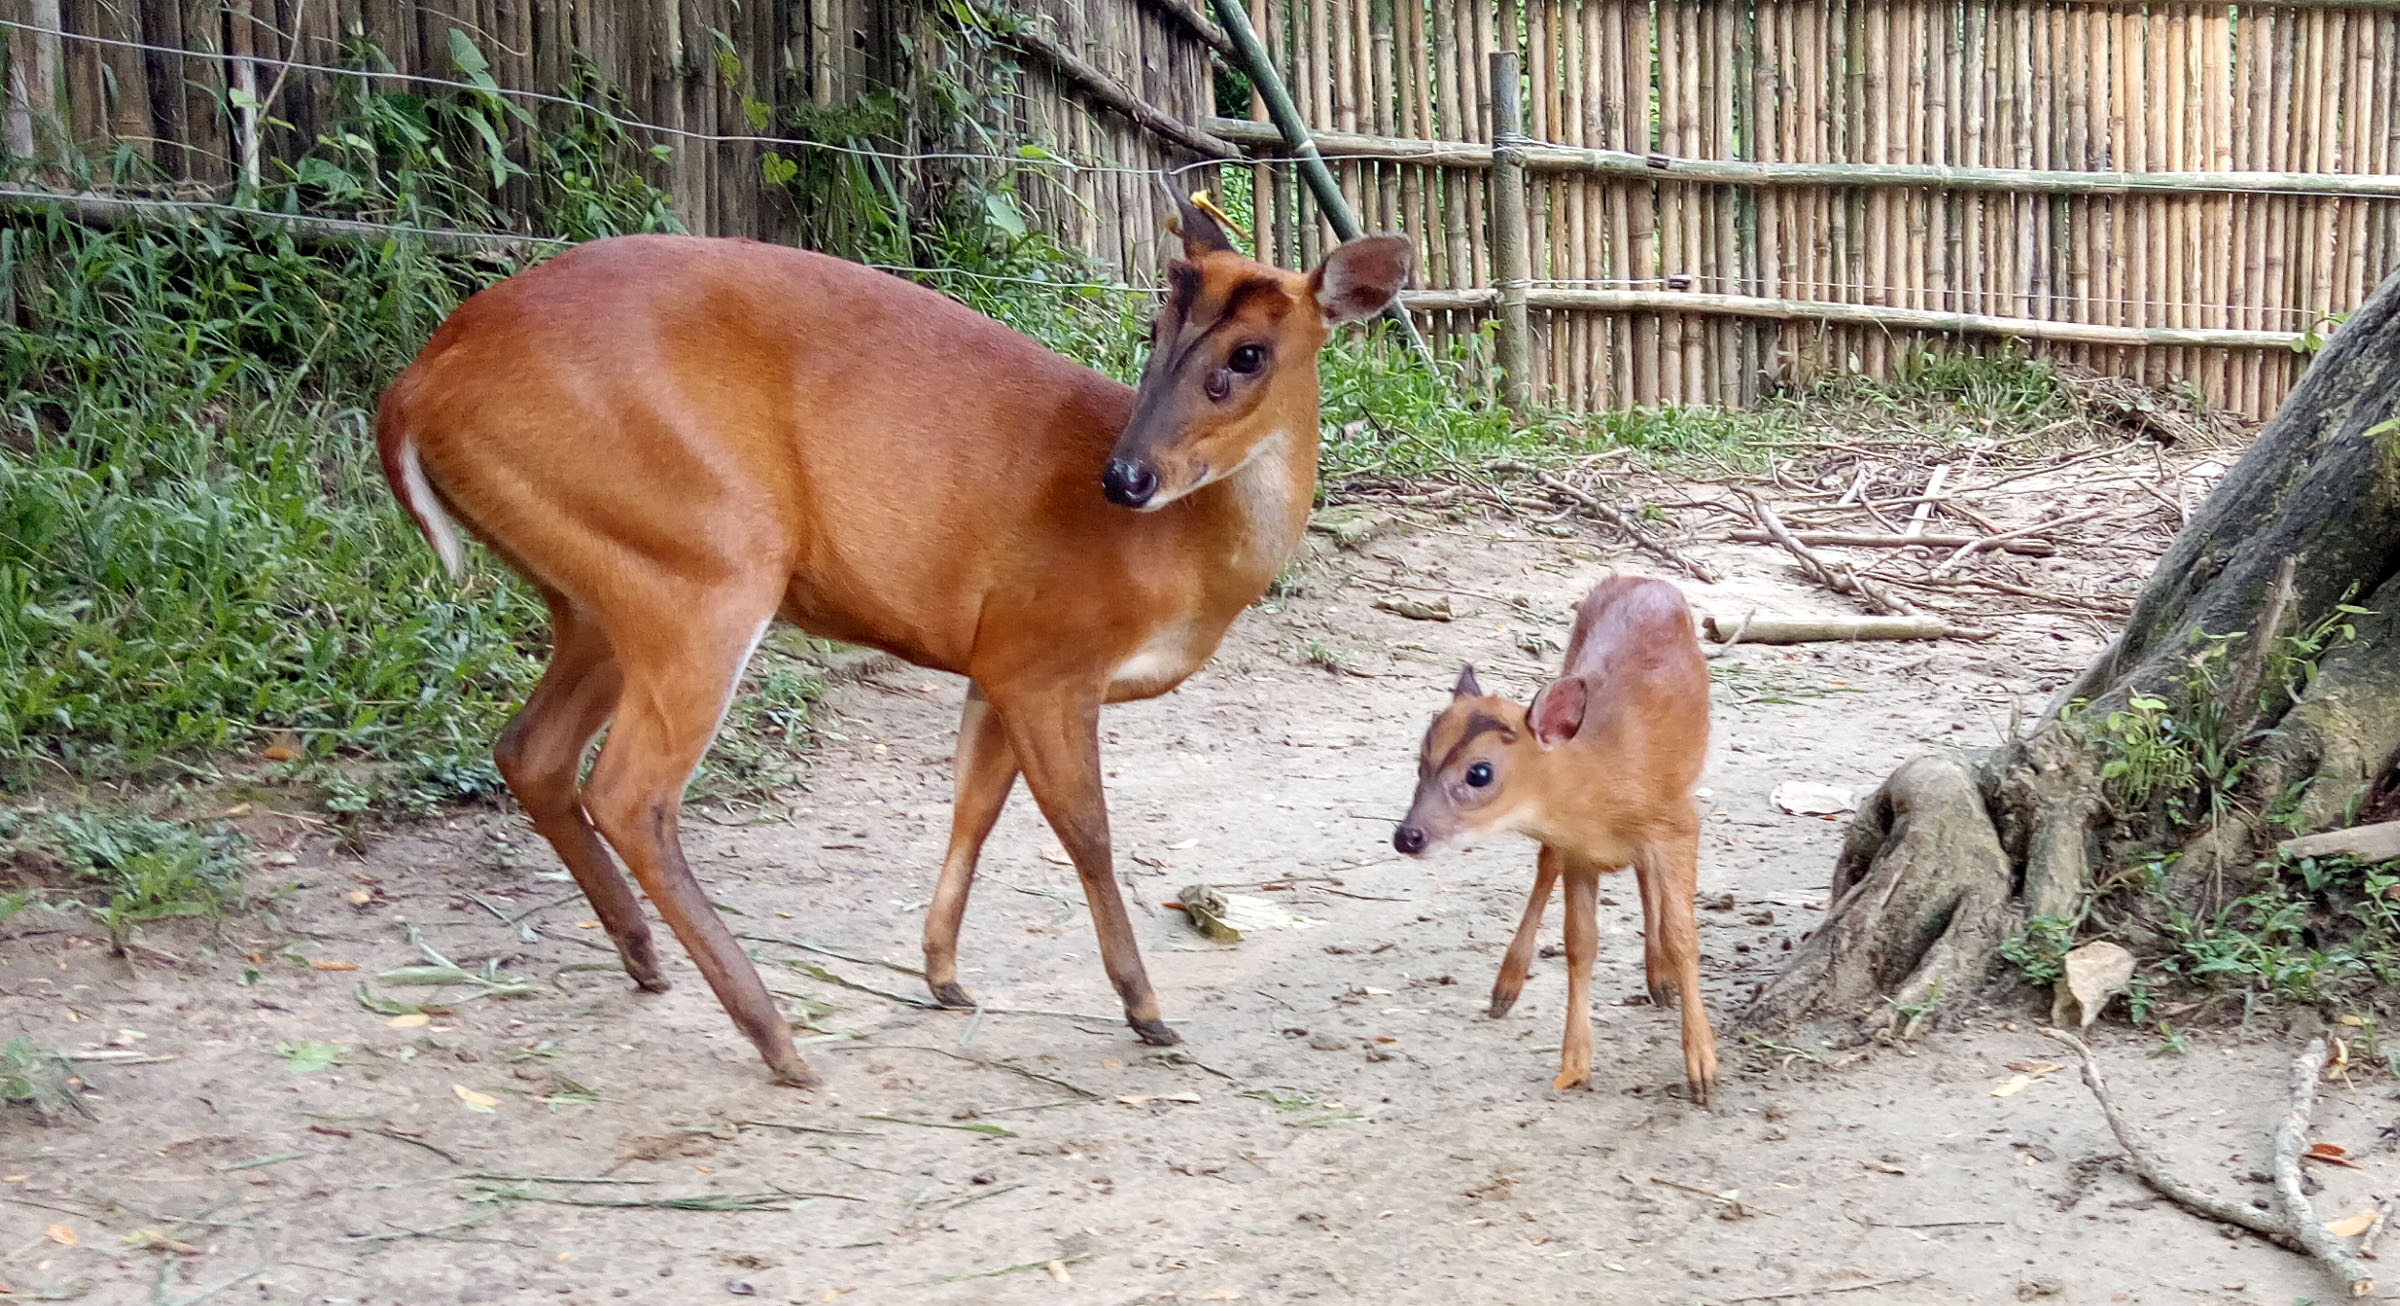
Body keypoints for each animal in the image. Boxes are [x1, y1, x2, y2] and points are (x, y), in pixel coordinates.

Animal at [375, 194, 1413, 1088]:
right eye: (1156, 333)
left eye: (1249, 353)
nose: (1125, 477)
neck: (1179, 562)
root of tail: (417, 386)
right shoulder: (1045, 653)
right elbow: (1086, 830)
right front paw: (1145, 1008)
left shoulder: (992, 664)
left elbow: (973, 808)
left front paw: (944, 976)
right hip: (704, 559)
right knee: (630, 791)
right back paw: (779, 1038)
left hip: (597, 586)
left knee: (532, 749)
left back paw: (645, 960)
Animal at [1390, 574, 1718, 1103]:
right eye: (1421, 760)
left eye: (1479, 773)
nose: (1407, 837)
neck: (1604, 782)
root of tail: (1643, 578)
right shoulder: (1577, 850)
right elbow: (1579, 943)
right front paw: (1574, 1063)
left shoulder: (1678, 822)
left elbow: (1683, 934)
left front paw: (1702, 1067)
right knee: (1548, 866)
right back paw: (1506, 988)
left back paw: (1659, 978)